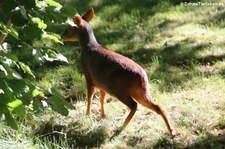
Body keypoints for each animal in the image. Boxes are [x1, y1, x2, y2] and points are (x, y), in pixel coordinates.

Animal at [61, 7, 176, 140]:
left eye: (69, 27)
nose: (61, 35)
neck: (88, 47)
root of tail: (142, 76)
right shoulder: (101, 83)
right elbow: (101, 99)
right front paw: (102, 115)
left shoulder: (88, 75)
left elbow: (89, 97)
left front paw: (87, 115)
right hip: (140, 90)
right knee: (157, 106)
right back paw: (172, 131)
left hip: (117, 88)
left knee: (134, 105)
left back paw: (118, 131)